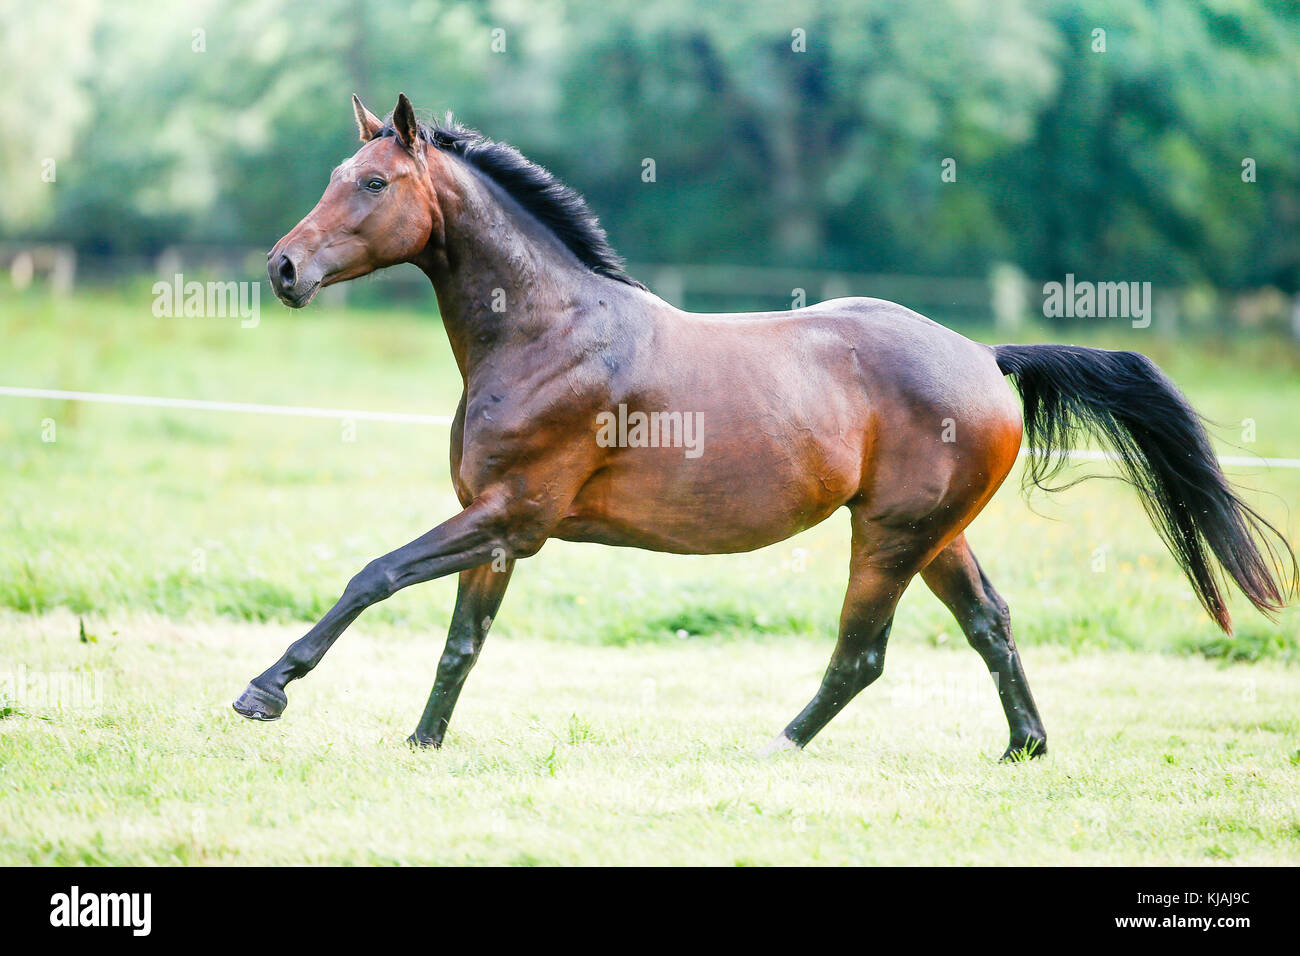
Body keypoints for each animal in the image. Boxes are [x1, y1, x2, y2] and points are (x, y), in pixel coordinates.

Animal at [231, 93, 1289, 759]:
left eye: (372, 185)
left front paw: (266, 689)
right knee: (991, 623)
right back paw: (1023, 750)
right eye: (340, 173)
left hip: (889, 535)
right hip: (936, 535)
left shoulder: (511, 517)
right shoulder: (496, 531)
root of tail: (986, 359)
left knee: (862, 652)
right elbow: (461, 644)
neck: (548, 332)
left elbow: (374, 575)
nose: (283, 268)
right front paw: (422, 742)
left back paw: (776, 745)